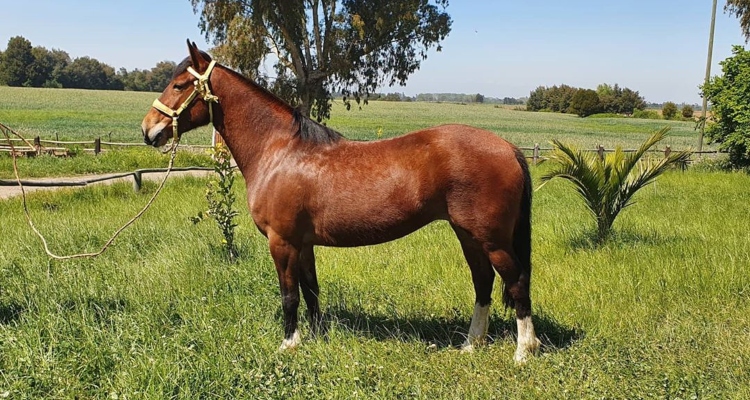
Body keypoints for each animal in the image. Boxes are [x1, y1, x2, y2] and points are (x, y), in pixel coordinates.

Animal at [140, 40, 540, 362]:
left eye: (179, 84)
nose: (147, 130)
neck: (280, 151)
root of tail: (509, 147)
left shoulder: (282, 242)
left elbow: (290, 295)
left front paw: (289, 344)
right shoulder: (303, 244)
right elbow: (311, 290)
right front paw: (316, 336)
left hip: (491, 240)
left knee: (517, 281)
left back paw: (524, 351)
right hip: (469, 235)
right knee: (483, 282)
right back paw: (471, 345)